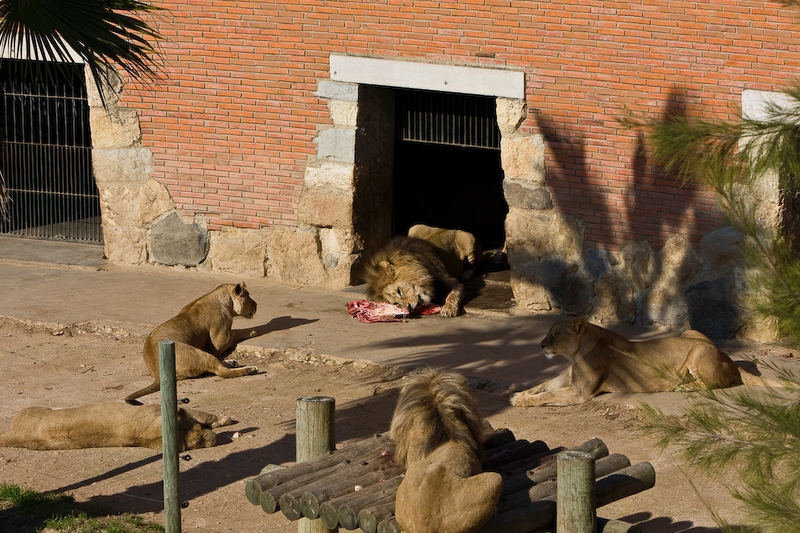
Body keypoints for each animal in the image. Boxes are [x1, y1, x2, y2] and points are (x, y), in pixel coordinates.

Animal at [125, 282, 259, 405]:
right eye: (248, 295)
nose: (256, 304)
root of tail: (157, 371)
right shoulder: (220, 342)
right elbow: (237, 331)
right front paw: (253, 331)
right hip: (198, 353)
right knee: (221, 371)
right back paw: (250, 369)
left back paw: (232, 362)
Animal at [511, 314, 783, 407]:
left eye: (555, 334)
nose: (541, 345)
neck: (576, 352)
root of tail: (728, 358)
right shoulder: (567, 379)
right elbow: (542, 386)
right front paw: (519, 394)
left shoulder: (580, 393)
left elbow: (547, 395)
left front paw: (521, 402)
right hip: (691, 332)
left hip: (697, 351)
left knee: (712, 384)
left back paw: (683, 387)